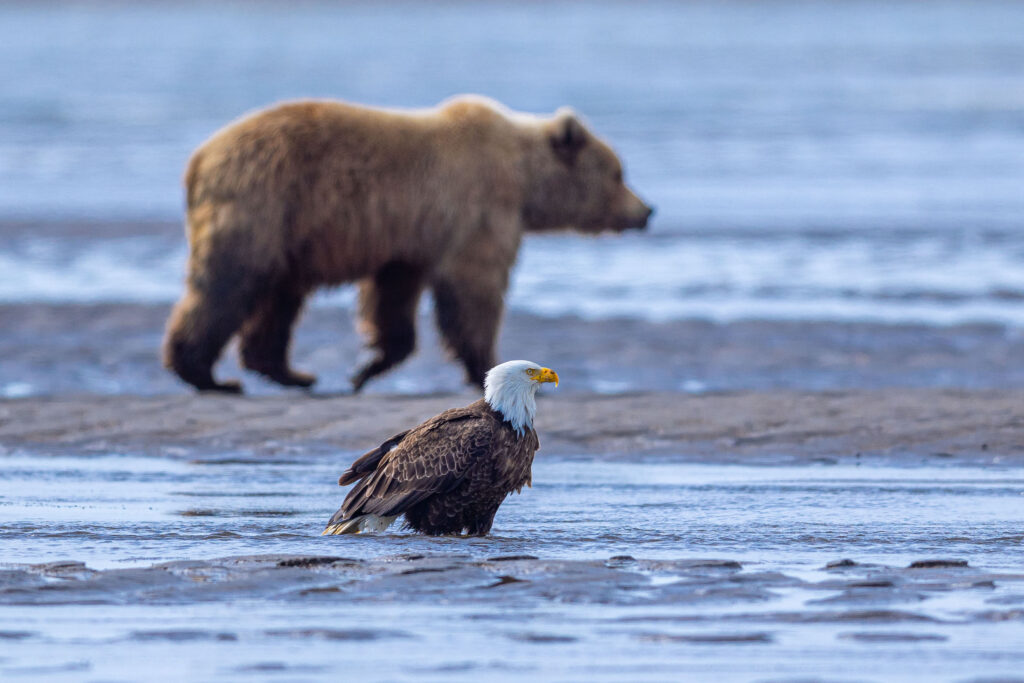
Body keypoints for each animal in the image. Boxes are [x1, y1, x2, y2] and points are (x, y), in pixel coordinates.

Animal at [163, 95, 652, 393]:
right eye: (618, 172)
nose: (646, 210)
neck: (524, 180)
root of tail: (198, 159)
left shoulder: (410, 241)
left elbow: (393, 300)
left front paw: (366, 367)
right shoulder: (476, 211)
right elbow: (474, 290)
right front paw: (486, 365)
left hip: (288, 236)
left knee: (278, 299)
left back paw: (293, 373)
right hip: (263, 204)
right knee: (229, 283)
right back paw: (207, 374)